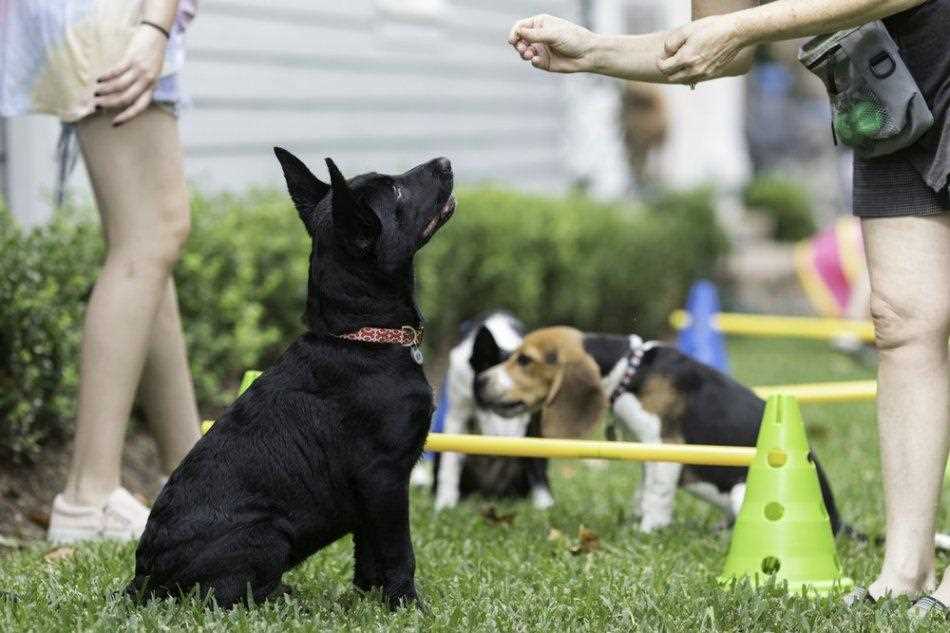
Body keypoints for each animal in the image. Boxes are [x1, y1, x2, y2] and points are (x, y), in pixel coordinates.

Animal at [428, 312, 556, 508]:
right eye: (488, 402)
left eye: (522, 405)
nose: (504, 447)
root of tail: (489, 492)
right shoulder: (457, 412)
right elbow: (449, 463)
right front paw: (445, 504)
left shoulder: (534, 422)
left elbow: (536, 462)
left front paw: (544, 505)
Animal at [476, 326, 848, 532]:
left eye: (525, 360)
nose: (480, 380)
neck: (629, 370)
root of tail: (839, 521)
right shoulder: (648, 451)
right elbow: (643, 490)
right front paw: (637, 519)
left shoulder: (665, 447)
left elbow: (656, 494)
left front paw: (648, 530)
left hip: (748, 490)